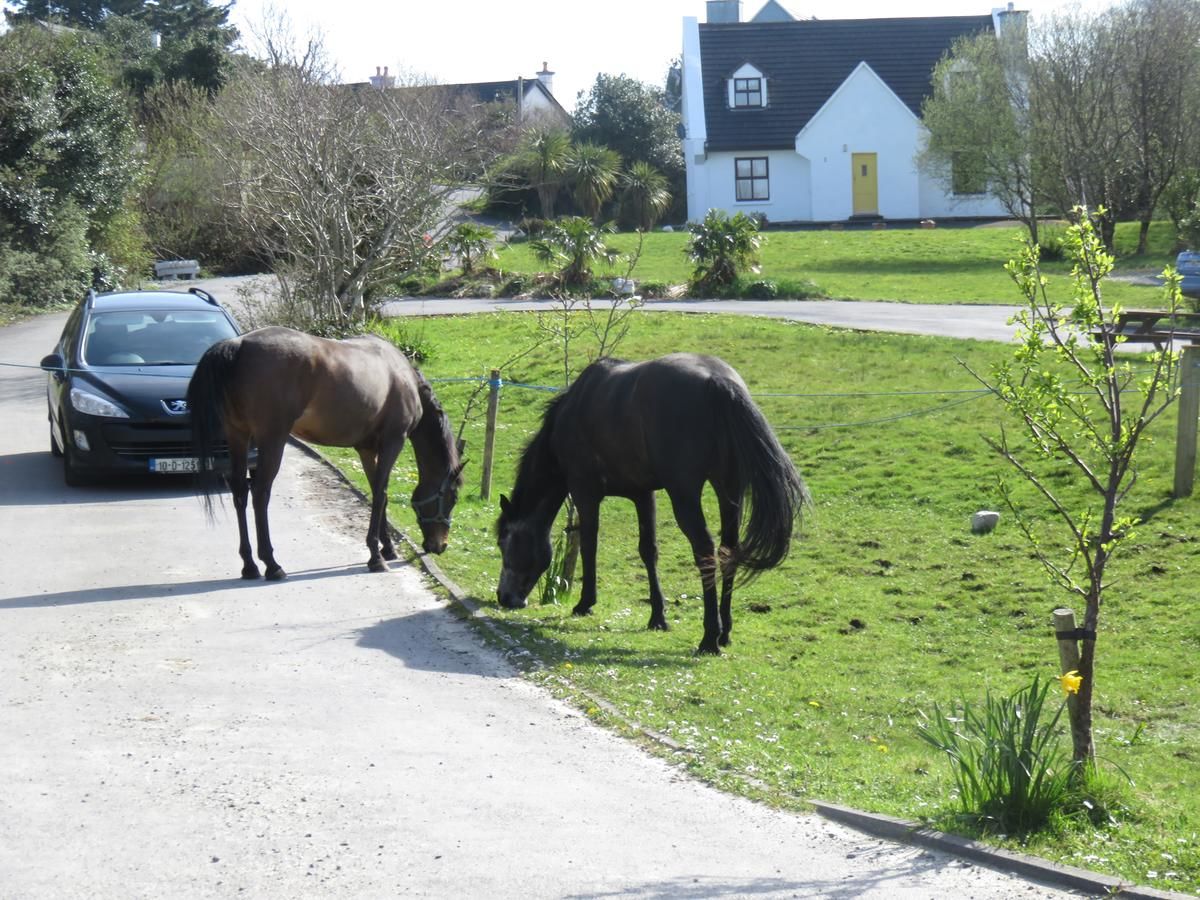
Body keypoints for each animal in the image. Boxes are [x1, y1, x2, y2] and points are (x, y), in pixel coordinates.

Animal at [187, 328, 463, 580]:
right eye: (453, 497)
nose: (440, 545)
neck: (402, 376)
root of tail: (238, 344)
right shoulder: (393, 442)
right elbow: (381, 493)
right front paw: (376, 556)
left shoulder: (366, 449)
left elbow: (377, 492)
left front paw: (387, 547)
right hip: (272, 440)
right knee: (260, 493)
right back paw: (272, 564)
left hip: (238, 436)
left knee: (240, 492)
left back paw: (249, 565)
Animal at [492, 352, 811, 657]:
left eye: (505, 542)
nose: (504, 597)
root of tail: (718, 383)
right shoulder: (643, 494)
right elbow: (648, 551)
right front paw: (658, 617)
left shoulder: (585, 492)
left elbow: (589, 543)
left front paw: (585, 603)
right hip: (729, 489)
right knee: (727, 550)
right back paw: (725, 632)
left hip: (684, 494)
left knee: (704, 550)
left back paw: (709, 638)